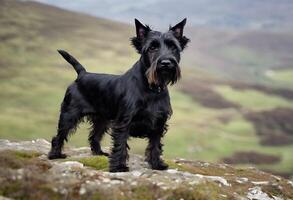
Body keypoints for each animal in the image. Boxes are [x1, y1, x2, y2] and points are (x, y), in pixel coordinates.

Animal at [48, 18, 189, 172]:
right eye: (152, 48)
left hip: (102, 119)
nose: (166, 63)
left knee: (94, 136)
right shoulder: (124, 122)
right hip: (69, 114)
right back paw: (55, 155)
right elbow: (120, 144)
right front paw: (119, 167)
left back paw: (99, 153)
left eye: (173, 47)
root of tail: (82, 74)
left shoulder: (159, 122)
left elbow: (155, 145)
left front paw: (157, 164)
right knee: (59, 135)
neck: (151, 88)